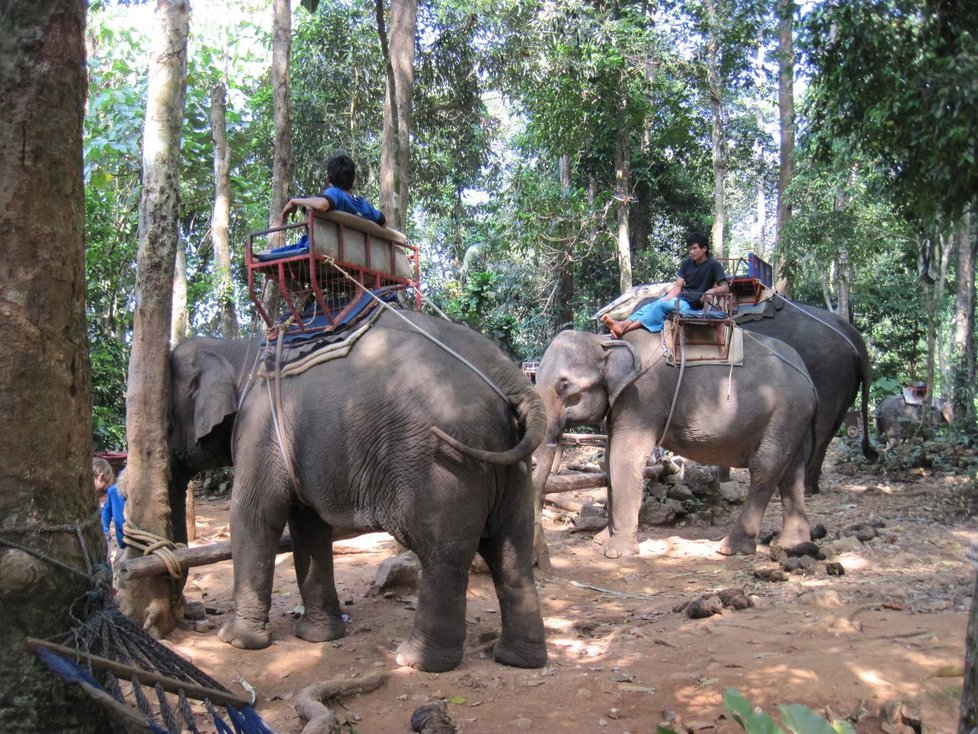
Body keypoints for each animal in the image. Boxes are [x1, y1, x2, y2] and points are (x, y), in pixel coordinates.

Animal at [169, 308, 548, 676]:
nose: (189, 609)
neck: (238, 350)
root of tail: (510, 376)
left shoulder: (258, 426)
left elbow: (255, 515)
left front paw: (235, 640)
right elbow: (308, 525)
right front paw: (317, 637)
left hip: (444, 464)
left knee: (445, 554)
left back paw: (415, 661)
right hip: (514, 464)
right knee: (511, 549)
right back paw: (517, 659)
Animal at [532, 330, 816, 560]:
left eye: (564, 384)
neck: (606, 341)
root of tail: (808, 375)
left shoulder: (643, 395)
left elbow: (624, 457)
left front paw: (616, 552)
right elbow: (610, 459)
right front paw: (601, 540)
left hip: (785, 411)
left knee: (766, 466)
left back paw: (731, 548)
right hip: (792, 418)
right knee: (792, 469)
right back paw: (791, 545)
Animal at [732, 294, 876, 494]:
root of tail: (852, 334)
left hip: (828, 373)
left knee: (821, 426)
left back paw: (800, 486)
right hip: (846, 381)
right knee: (832, 427)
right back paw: (810, 485)